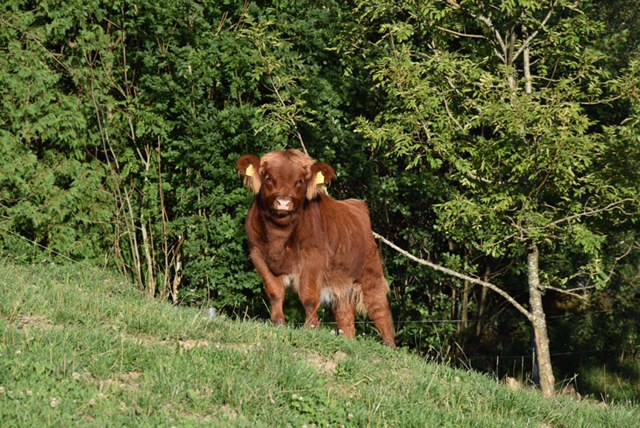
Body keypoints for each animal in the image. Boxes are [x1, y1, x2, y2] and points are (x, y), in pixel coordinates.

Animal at [237, 149, 396, 348]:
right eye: (268, 178)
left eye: (300, 181)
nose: (283, 203)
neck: (279, 236)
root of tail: (357, 203)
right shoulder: (258, 255)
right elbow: (275, 292)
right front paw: (278, 323)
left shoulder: (313, 259)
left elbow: (309, 295)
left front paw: (311, 327)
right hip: (341, 283)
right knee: (345, 318)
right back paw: (347, 341)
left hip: (371, 272)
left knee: (379, 308)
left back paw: (390, 346)